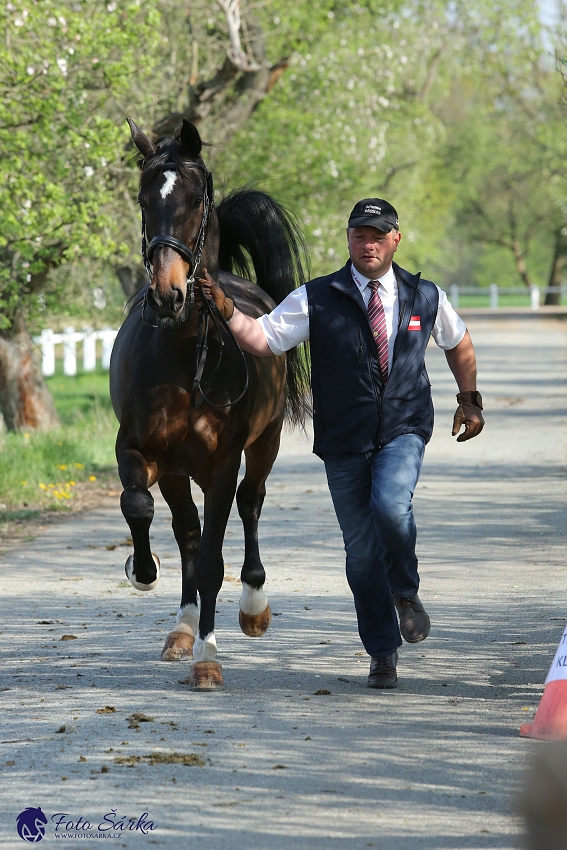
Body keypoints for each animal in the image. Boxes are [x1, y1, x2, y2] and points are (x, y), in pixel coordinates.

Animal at [108, 121, 308, 688]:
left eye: (195, 200)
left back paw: (253, 607)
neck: (185, 354)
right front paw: (143, 571)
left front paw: (208, 658)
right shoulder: (141, 451)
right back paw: (181, 629)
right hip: (181, 471)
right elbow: (142, 508)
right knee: (189, 536)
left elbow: (215, 561)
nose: (167, 296)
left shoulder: (223, 463)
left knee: (251, 502)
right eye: (144, 199)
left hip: (263, 446)